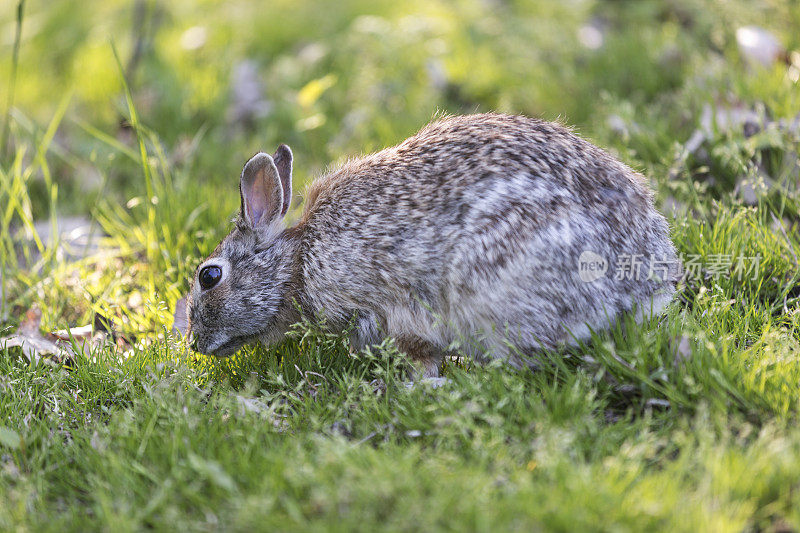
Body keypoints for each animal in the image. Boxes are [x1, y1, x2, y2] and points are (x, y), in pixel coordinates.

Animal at [184, 114, 680, 376]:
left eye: (210, 276)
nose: (193, 344)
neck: (297, 263)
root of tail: (638, 293)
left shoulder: (389, 311)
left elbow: (417, 350)